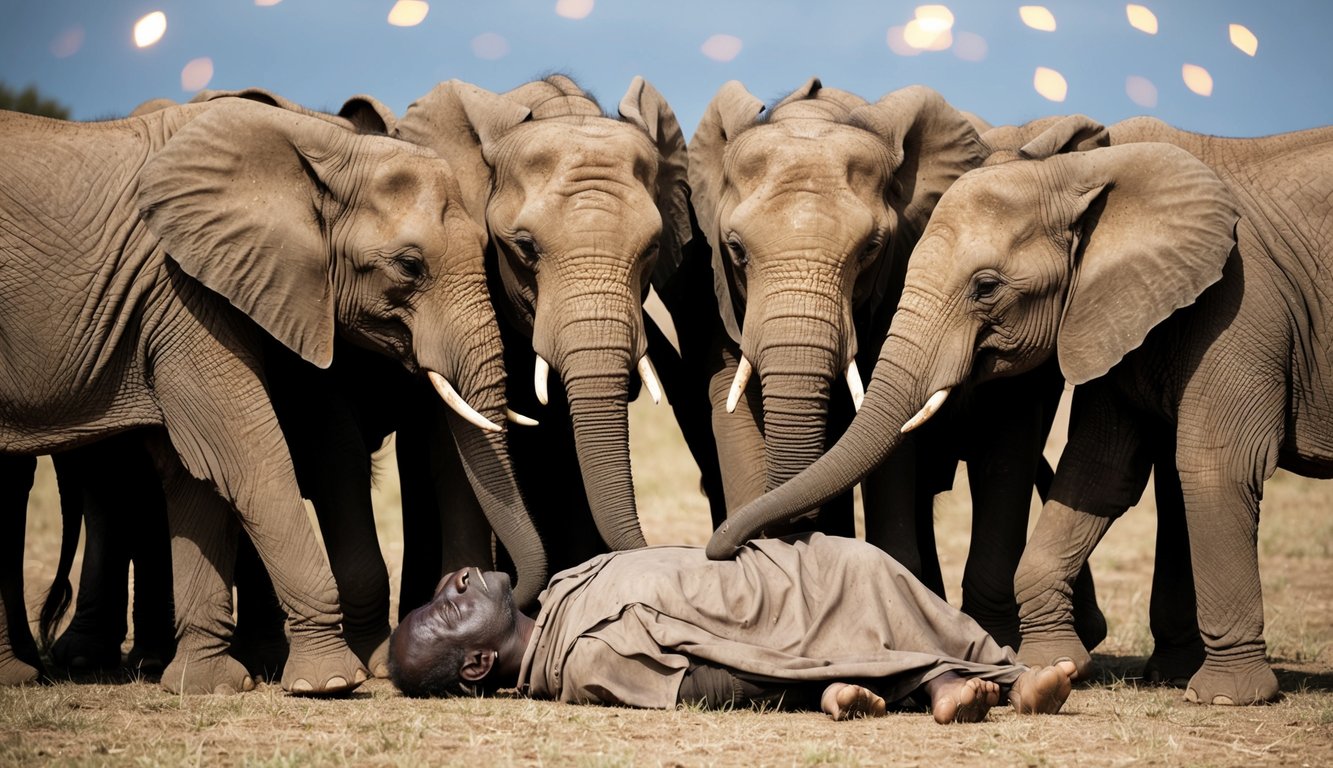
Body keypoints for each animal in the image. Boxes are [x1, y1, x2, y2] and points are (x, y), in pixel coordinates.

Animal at [26, 87, 550, 684]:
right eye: (409, 266)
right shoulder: (234, 299)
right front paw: (344, 676)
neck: (325, 155)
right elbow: (309, 452)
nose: (478, 582)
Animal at [709, 113, 1333, 705]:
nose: (720, 549)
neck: (1082, 176)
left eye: (986, 287)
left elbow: (1216, 464)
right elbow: (1101, 471)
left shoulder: (1241, 304)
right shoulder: (1116, 311)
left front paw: (1226, 697)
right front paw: (1054, 664)